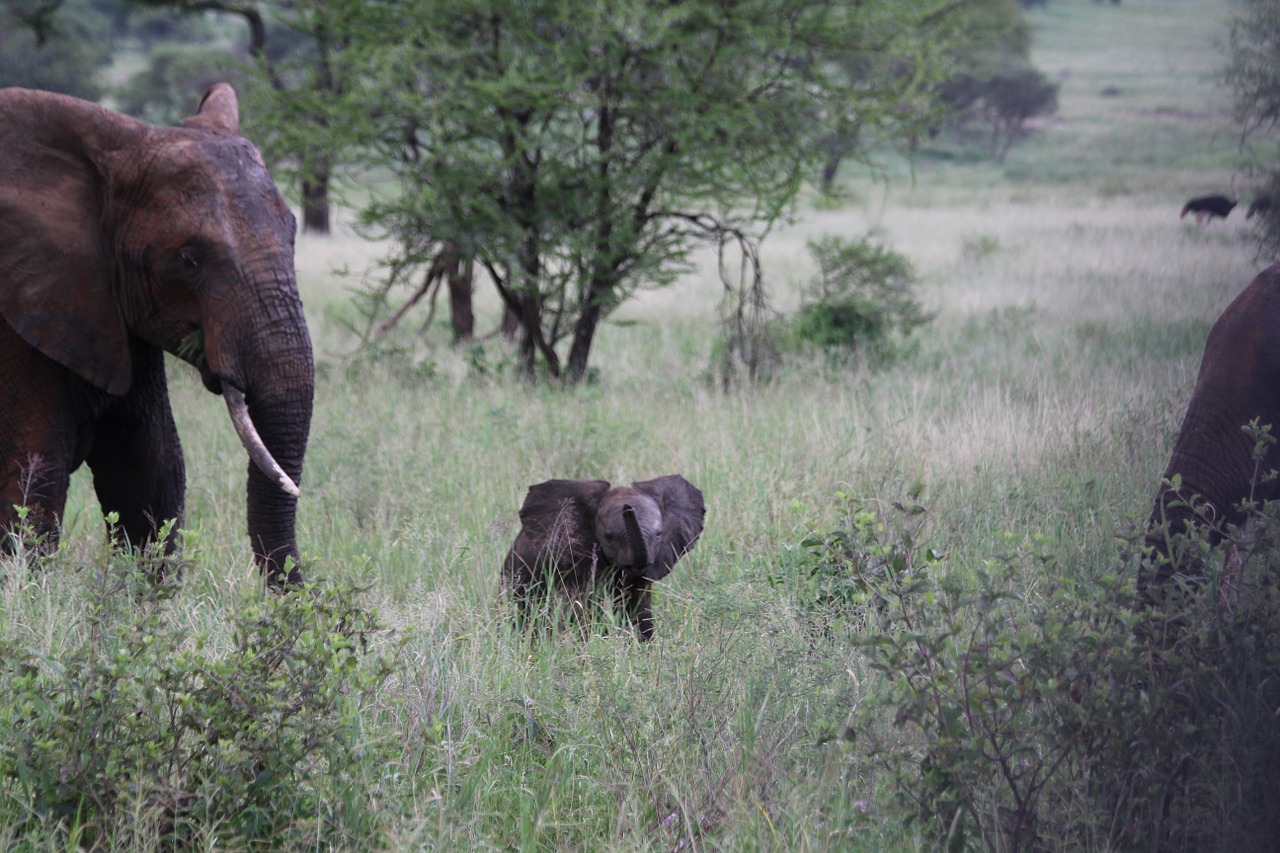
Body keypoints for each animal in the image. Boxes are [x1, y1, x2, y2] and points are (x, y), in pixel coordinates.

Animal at [0, 83, 313, 581]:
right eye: (189, 259)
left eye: (293, 233)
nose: (306, 593)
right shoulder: (17, 318)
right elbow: (33, 474)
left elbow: (149, 465)